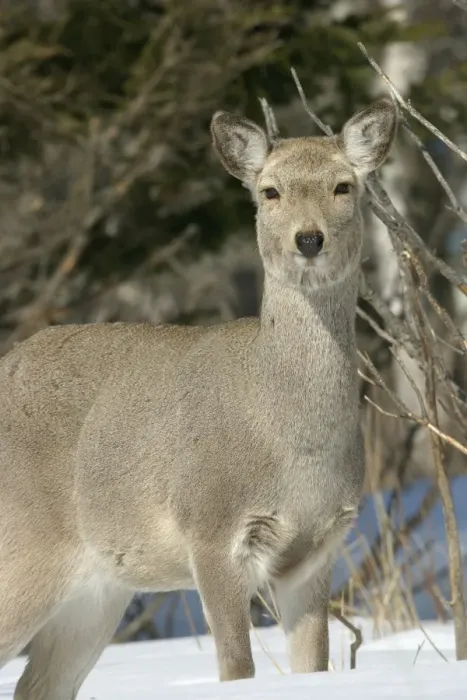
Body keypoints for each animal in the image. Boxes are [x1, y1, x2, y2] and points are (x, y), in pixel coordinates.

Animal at [0, 94, 397, 699]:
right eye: (269, 191)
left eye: (343, 186)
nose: (309, 239)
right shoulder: (211, 527)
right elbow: (237, 668)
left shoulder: (316, 549)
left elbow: (314, 663)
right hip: (23, 548)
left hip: (96, 592)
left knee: (38, 686)